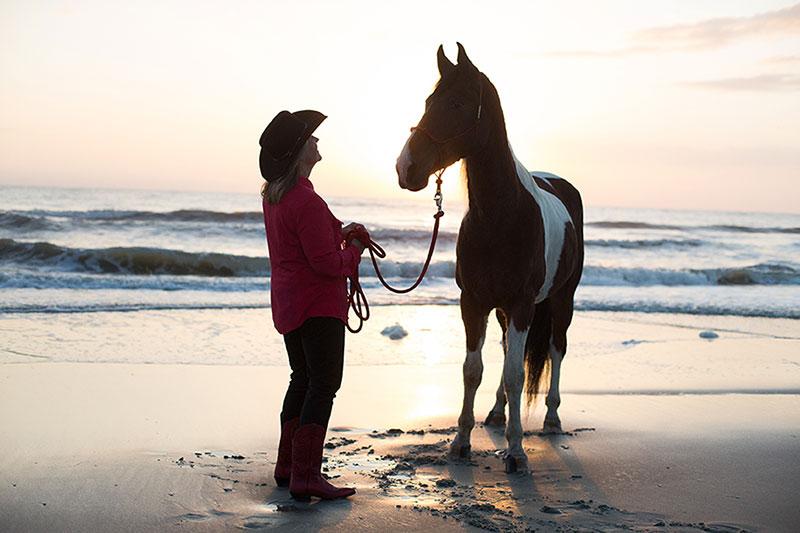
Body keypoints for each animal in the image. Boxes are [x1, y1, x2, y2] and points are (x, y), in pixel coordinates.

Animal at [396, 43, 584, 472]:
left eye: (458, 103)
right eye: (429, 101)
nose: (406, 168)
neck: (501, 216)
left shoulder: (521, 304)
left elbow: (516, 375)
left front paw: (516, 451)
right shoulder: (474, 302)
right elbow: (473, 370)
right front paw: (461, 442)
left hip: (561, 300)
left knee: (556, 348)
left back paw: (551, 418)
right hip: (503, 311)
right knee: (504, 351)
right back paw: (497, 413)